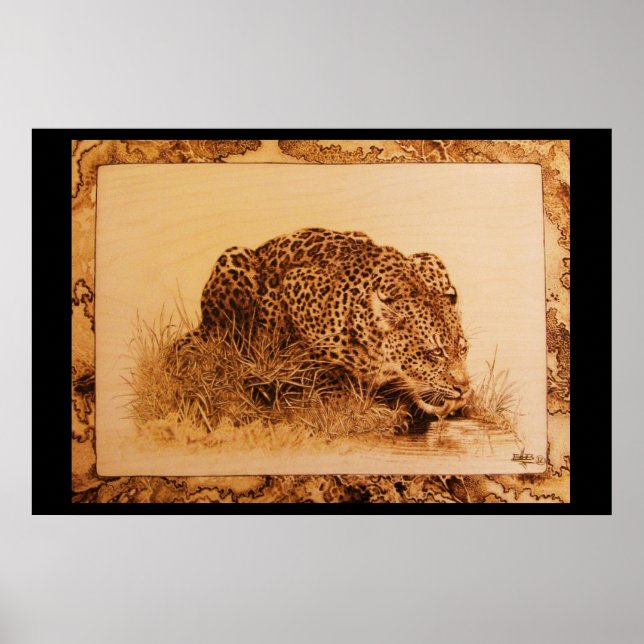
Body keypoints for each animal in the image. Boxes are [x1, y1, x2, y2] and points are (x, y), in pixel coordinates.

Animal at [186, 228, 470, 420]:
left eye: (463, 349)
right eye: (436, 353)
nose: (464, 388)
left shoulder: (429, 259)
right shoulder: (293, 287)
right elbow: (321, 360)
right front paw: (341, 398)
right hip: (233, 261)